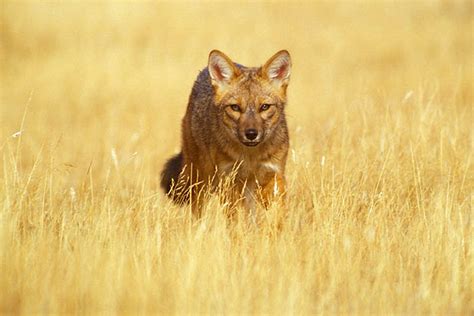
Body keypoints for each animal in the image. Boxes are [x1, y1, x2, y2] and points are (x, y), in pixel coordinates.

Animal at [161, 49, 290, 212]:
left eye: (264, 107)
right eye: (235, 107)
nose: (251, 134)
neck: (251, 158)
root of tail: (203, 72)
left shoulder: (274, 175)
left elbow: (277, 213)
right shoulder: (229, 180)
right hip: (202, 181)